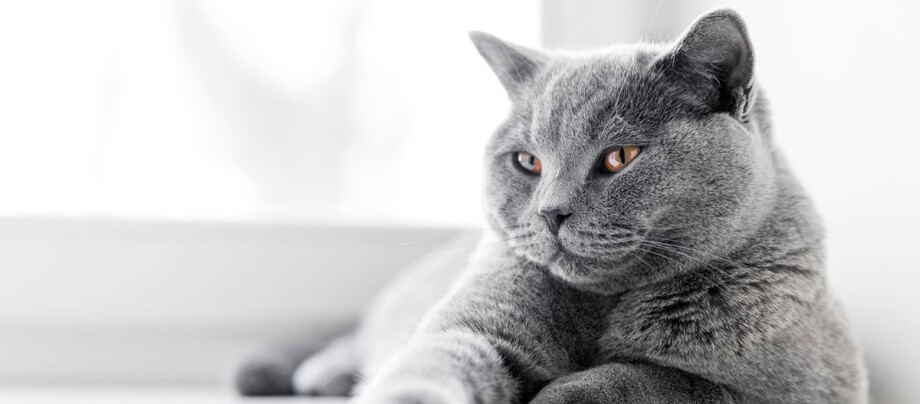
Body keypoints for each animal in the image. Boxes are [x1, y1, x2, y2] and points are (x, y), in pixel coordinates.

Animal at [234, 7, 868, 402]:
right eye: (528, 162)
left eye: (620, 157)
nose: (550, 212)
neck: (603, 305)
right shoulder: (472, 325)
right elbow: (431, 361)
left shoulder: (805, 386)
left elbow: (662, 381)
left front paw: (561, 390)